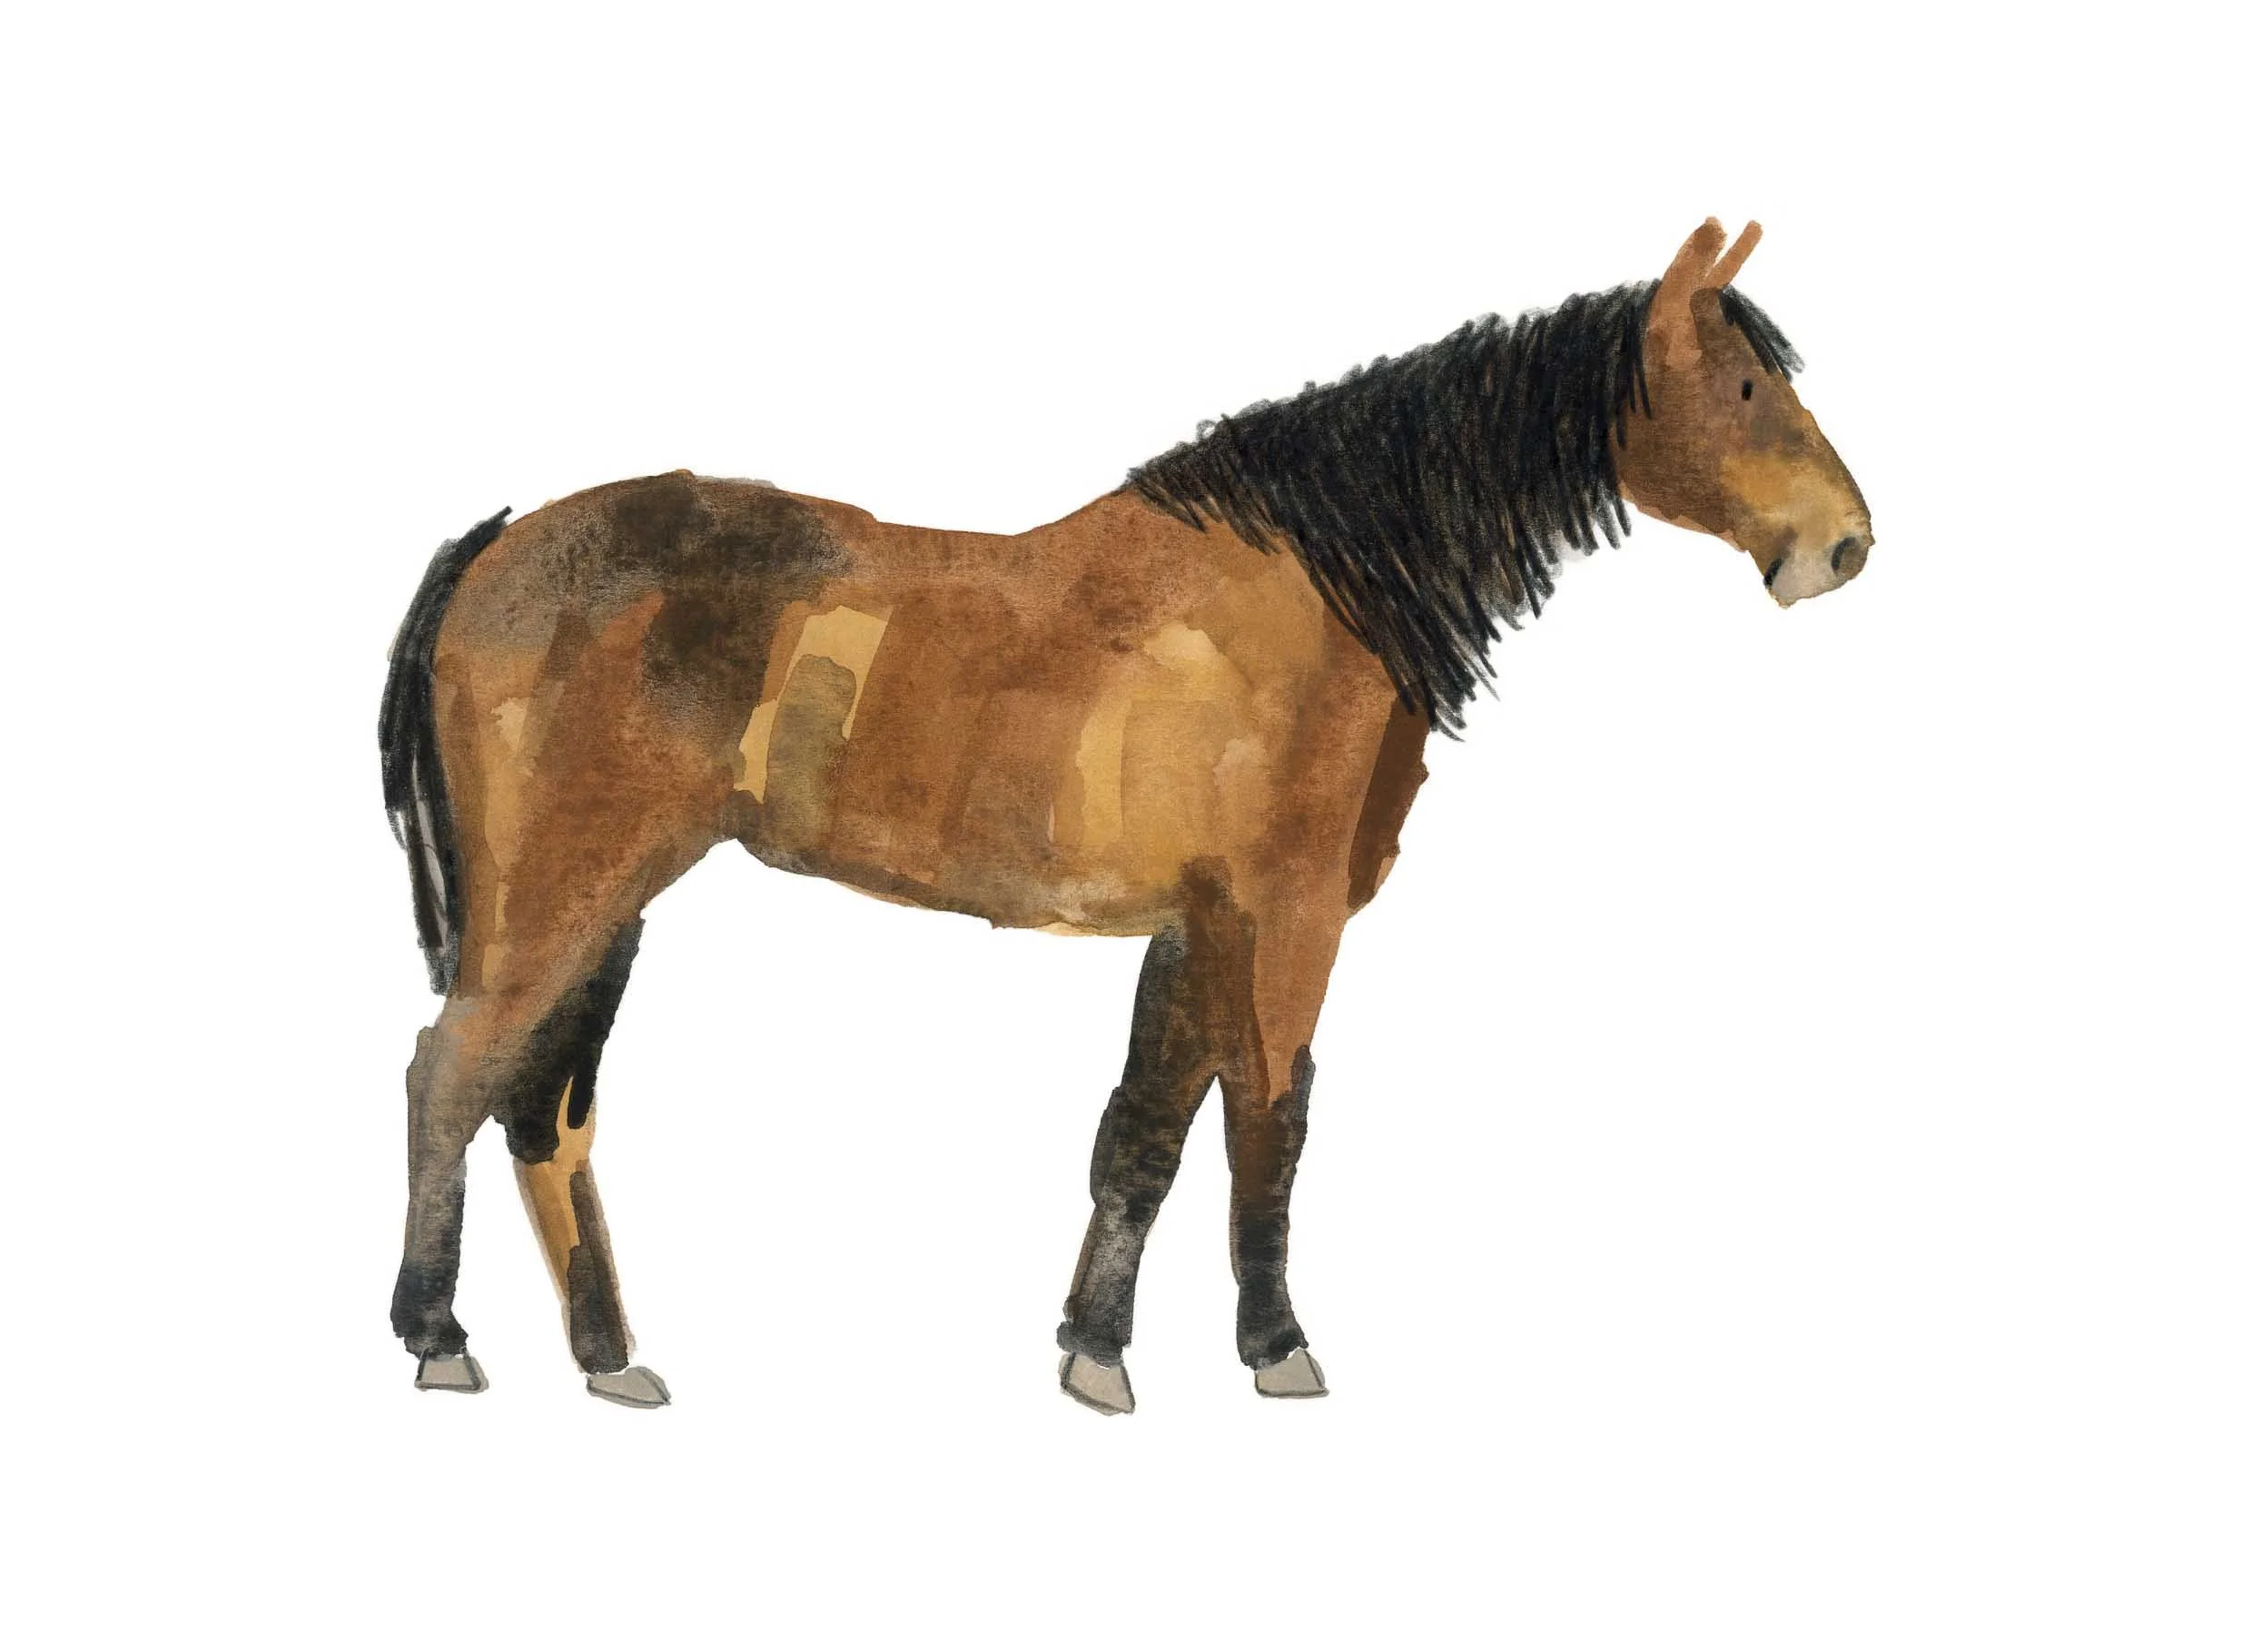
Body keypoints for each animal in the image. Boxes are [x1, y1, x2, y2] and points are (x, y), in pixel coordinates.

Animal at [378, 219, 1872, 1412]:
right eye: (1745, 383)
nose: (1845, 543)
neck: (1312, 584)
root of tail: (496, 547)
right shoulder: (1282, 920)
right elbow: (1269, 1120)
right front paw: (1276, 1347)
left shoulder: (1195, 929)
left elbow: (1145, 1132)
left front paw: (1093, 1351)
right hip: (556, 894)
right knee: (452, 1074)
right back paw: (439, 1335)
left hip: (614, 900)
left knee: (546, 1112)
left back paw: (609, 1356)